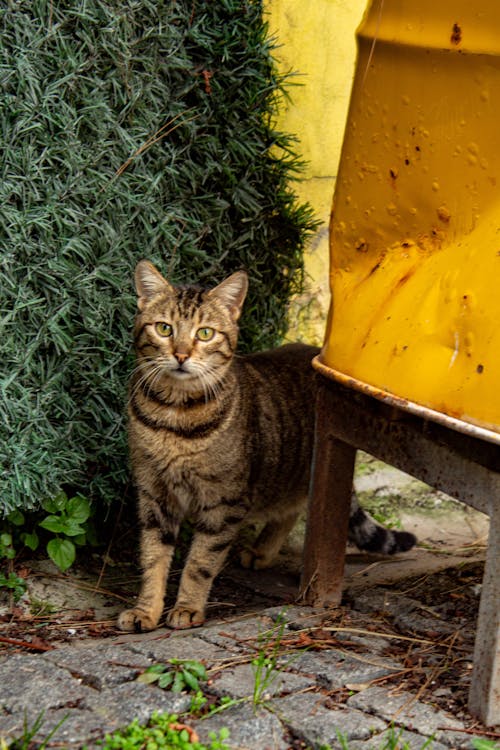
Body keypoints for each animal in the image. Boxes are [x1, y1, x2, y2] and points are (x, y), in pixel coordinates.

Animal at [117, 264, 414, 636]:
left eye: (205, 333)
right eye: (164, 328)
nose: (181, 355)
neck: (175, 416)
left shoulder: (224, 503)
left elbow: (200, 562)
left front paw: (187, 608)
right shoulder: (154, 496)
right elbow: (153, 559)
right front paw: (146, 610)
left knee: (296, 507)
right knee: (289, 511)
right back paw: (261, 551)